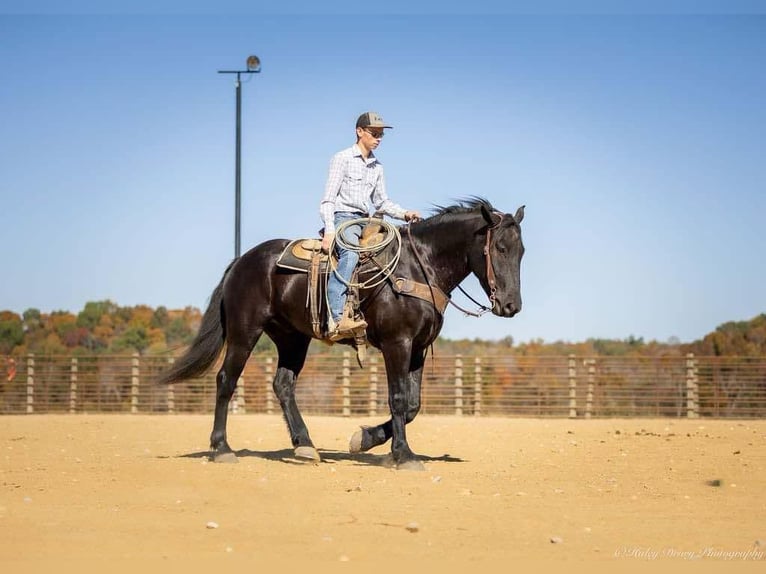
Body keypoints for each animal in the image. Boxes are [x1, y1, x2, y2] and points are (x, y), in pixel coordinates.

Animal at [159, 200, 524, 470]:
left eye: (521, 251)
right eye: (499, 248)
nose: (511, 305)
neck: (418, 267)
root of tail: (241, 261)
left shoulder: (418, 347)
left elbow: (413, 405)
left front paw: (365, 440)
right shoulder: (397, 343)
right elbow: (398, 398)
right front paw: (403, 455)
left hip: (292, 338)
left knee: (283, 384)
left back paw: (305, 446)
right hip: (244, 332)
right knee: (226, 380)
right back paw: (222, 448)